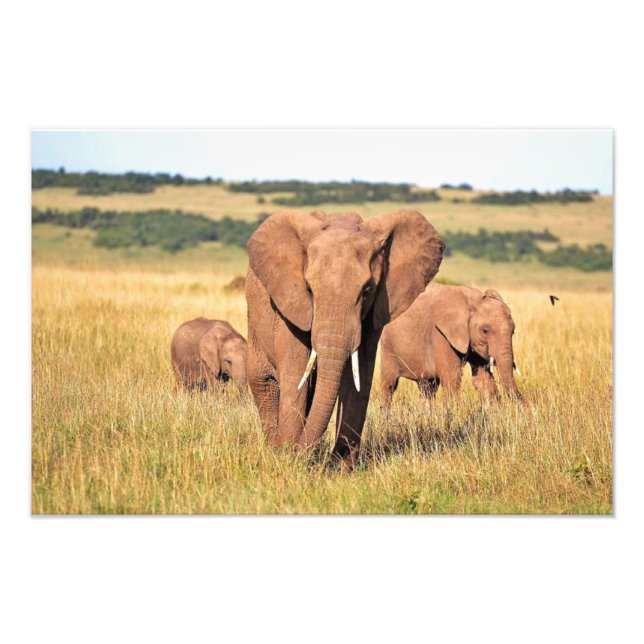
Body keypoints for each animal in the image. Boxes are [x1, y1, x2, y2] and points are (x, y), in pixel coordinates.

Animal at [245, 209, 444, 467]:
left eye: (367, 290)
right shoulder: (289, 305)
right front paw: (290, 458)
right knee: (264, 382)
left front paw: (340, 467)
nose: (300, 453)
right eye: (309, 289)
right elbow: (296, 371)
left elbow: (359, 376)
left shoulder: (374, 312)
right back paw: (276, 450)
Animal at [380, 283, 522, 403]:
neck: (472, 302)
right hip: (387, 344)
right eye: (485, 331)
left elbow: (482, 379)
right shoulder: (440, 333)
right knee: (389, 385)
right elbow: (452, 376)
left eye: (513, 332)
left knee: (428, 387)